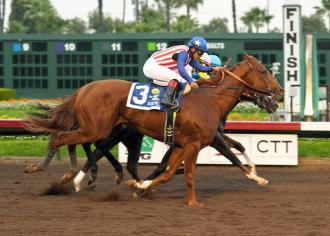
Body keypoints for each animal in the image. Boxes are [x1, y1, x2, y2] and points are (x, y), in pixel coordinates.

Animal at [27, 53, 282, 206]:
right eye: (263, 71)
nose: (278, 92)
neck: (211, 99)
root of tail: (84, 89)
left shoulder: (188, 142)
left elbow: (169, 170)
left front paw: (141, 186)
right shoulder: (198, 142)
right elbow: (222, 160)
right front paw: (256, 177)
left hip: (111, 131)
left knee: (79, 142)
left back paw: (79, 177)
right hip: (100, 129)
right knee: (65, 138)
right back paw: (56, 171)